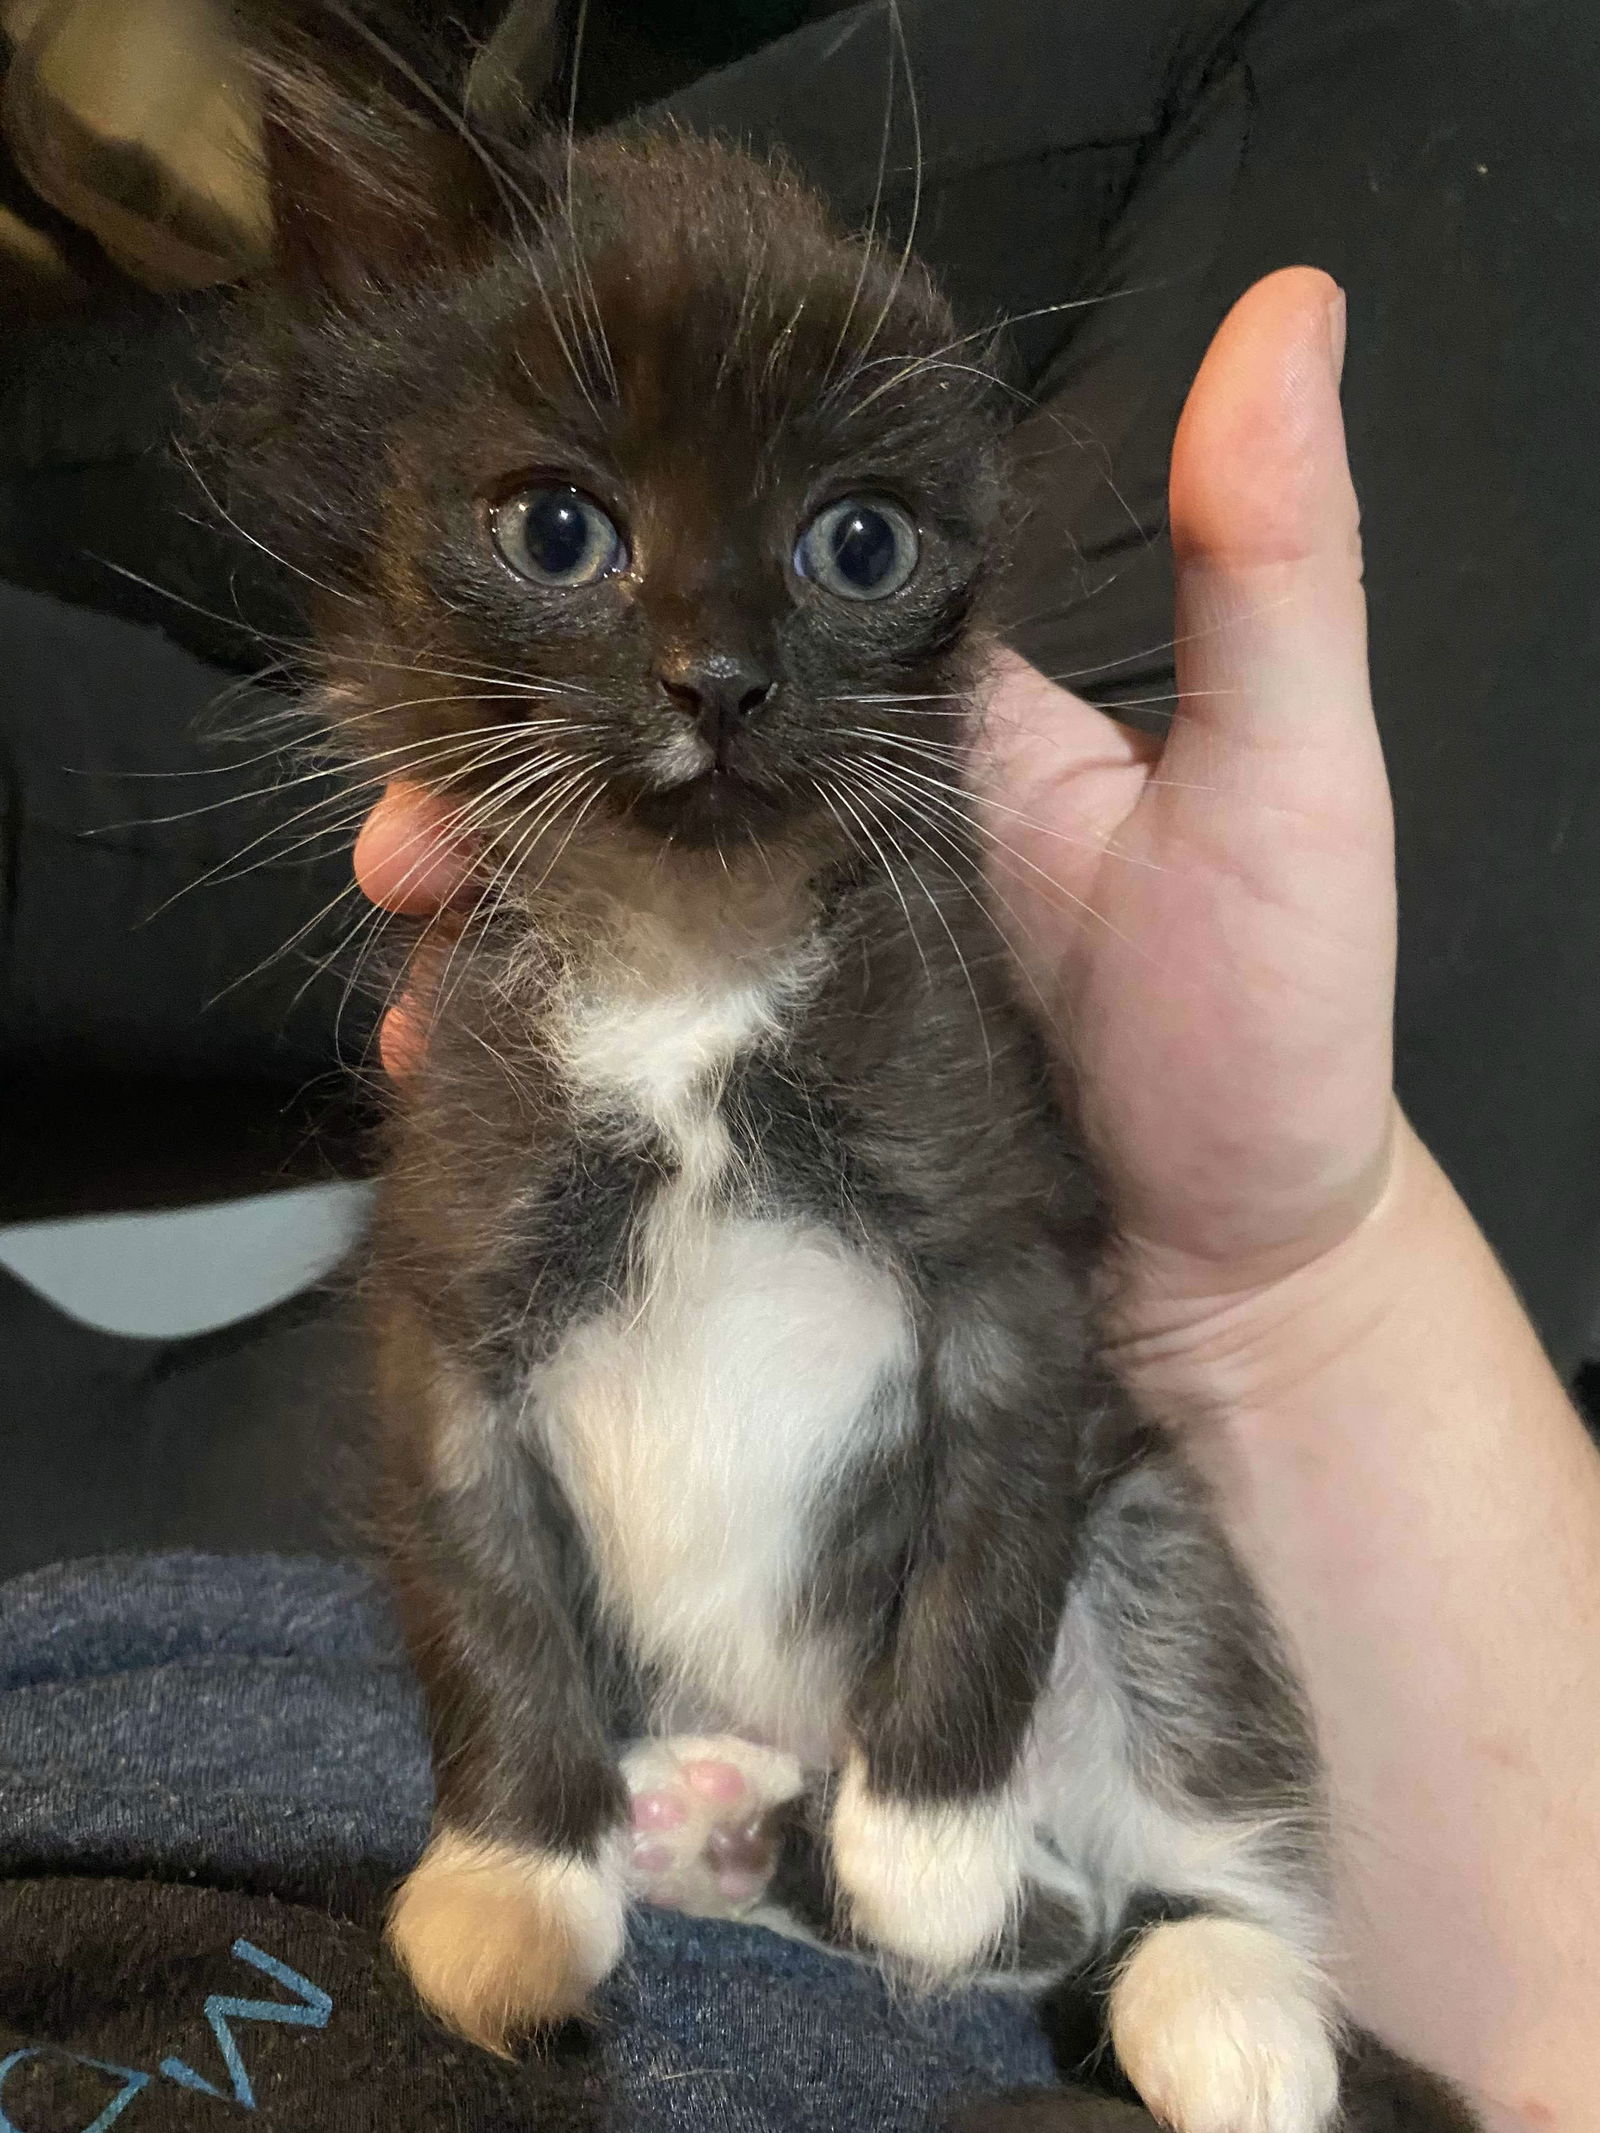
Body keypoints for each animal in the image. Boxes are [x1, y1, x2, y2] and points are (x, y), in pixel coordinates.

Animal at [222, 16, 1476, 2133]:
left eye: (859, 545)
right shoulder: (452, 1255)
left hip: (1154, 1530)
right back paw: (712, 1822)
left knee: (1156, 1856)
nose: (719, 678)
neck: (689, 958)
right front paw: (513, 1881)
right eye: (558, 531)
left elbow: (982, 1555)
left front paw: (927, 1831)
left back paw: (1216, 1998)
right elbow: (482, 1587)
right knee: (1055, 1913)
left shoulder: (1004, 1234)